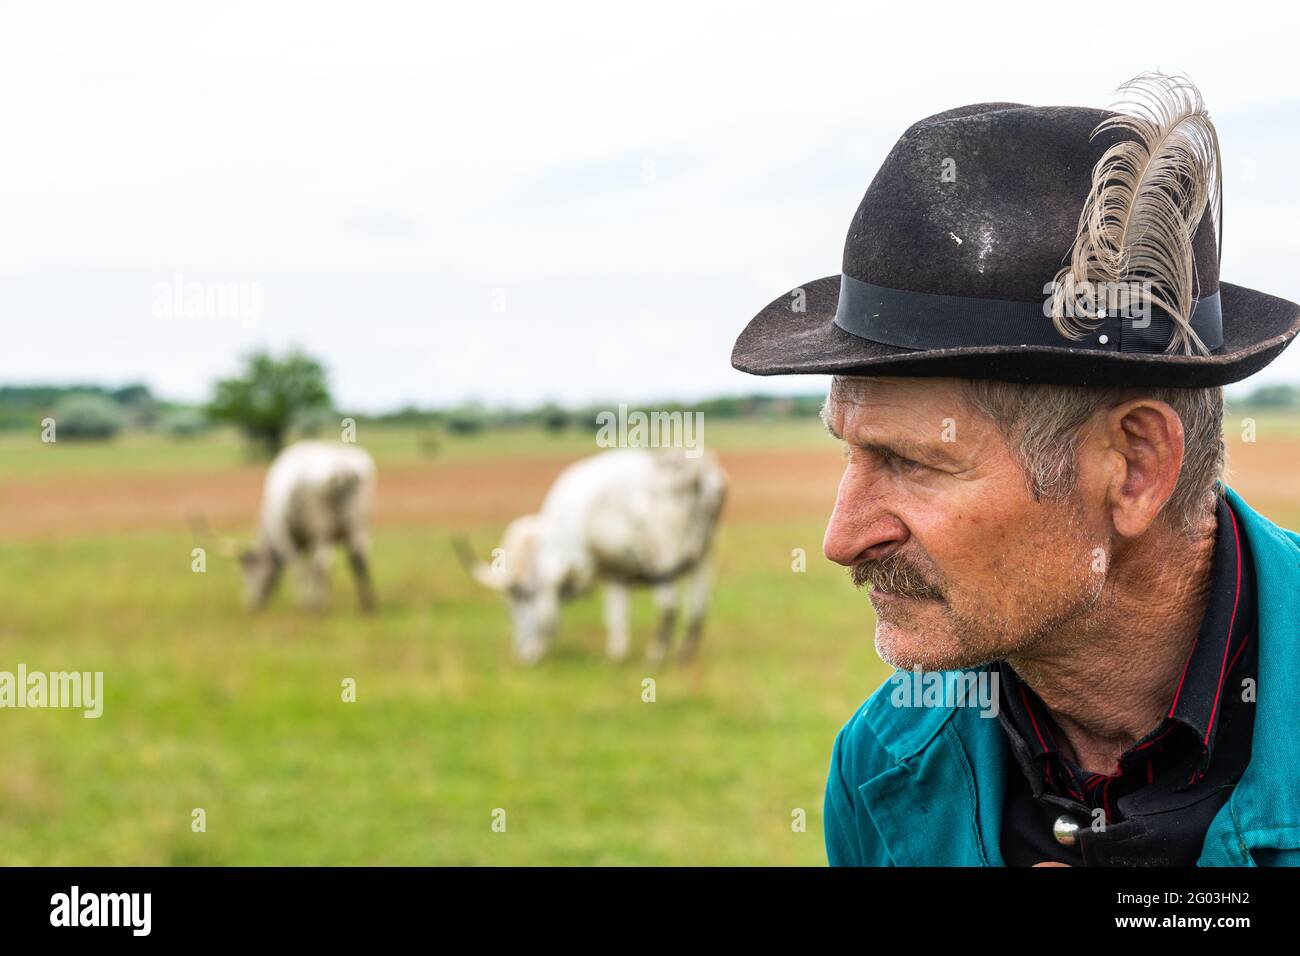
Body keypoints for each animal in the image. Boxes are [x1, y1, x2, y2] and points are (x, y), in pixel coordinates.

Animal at [235, 442, 379, 613]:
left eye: (247, 571)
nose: (250, 605)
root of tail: (342, 465)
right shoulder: (308, 539)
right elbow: (309, 567)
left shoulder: (285, 537)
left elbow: (298, 566)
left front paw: (304, 601)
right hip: (359, 524)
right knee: (359, 559)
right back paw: (367, 604)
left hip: (323, 529)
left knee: (322, 563)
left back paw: (317, 606)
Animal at [457, 447, 728, 665]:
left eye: (518, 599)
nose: (521, 653)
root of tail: (697, 471)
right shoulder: (616, 574)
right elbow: (616, 614)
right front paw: (617, 654)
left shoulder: (553, 570)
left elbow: (547, 617)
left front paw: (539, 652)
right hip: (703, 557)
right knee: (699, 608)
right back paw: (684, 656)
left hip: (664, 556)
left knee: (669, 607)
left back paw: (655, 657)